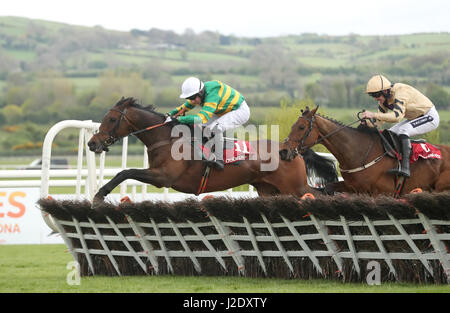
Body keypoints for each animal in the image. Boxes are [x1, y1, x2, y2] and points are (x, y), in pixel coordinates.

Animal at [87, 97, 338, 205]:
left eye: (111, 119)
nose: (92, 143)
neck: (167, 139)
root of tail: (291, 150)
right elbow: (126, 172)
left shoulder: (163, 177)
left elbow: (125, 172)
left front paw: (100, 194)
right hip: (270, 190)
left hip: (295, 187)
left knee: (319, 194)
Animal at [280, 106, 450, 196]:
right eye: (293, 126)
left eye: (301, 127)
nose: (283, 151)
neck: (359, 151)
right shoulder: (353, 187)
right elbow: (328, 188)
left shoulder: (382, 192)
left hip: (441, 188)